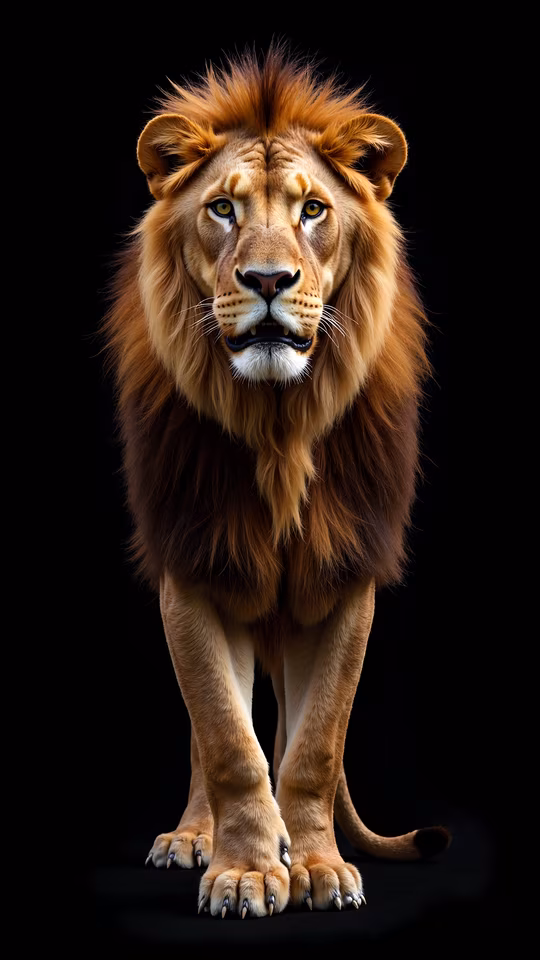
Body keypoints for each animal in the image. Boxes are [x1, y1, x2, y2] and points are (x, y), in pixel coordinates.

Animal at [103, 45, 451, 919]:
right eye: (223, 208)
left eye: (314, 209)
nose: (266, 279)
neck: (277, 426)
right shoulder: (191, 569)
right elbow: (229, 740)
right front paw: (247, 871)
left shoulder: (347, 575)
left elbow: (314, 745)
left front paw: (317, 867)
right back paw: (194, 836)